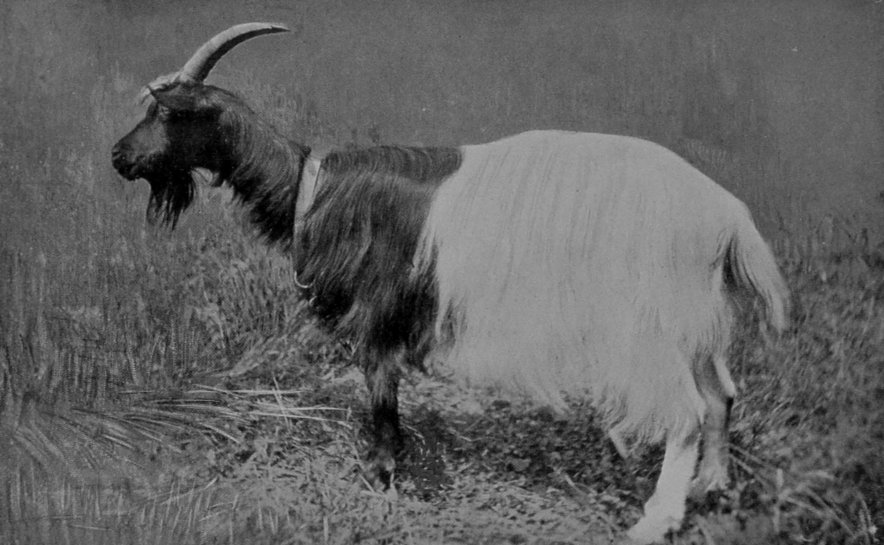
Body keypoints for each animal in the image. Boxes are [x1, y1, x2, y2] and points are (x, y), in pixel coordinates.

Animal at [111, 23, 790, 544]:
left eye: (166, 112)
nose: (119, 157)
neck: (309, 187)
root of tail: (729, 217)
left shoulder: (379, 309)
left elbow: (381, 388)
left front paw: (382, 475)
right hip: (690, 317)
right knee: (720, 395)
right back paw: (713, 485)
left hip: (649, 319)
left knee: (685, 411)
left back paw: (657, 519)